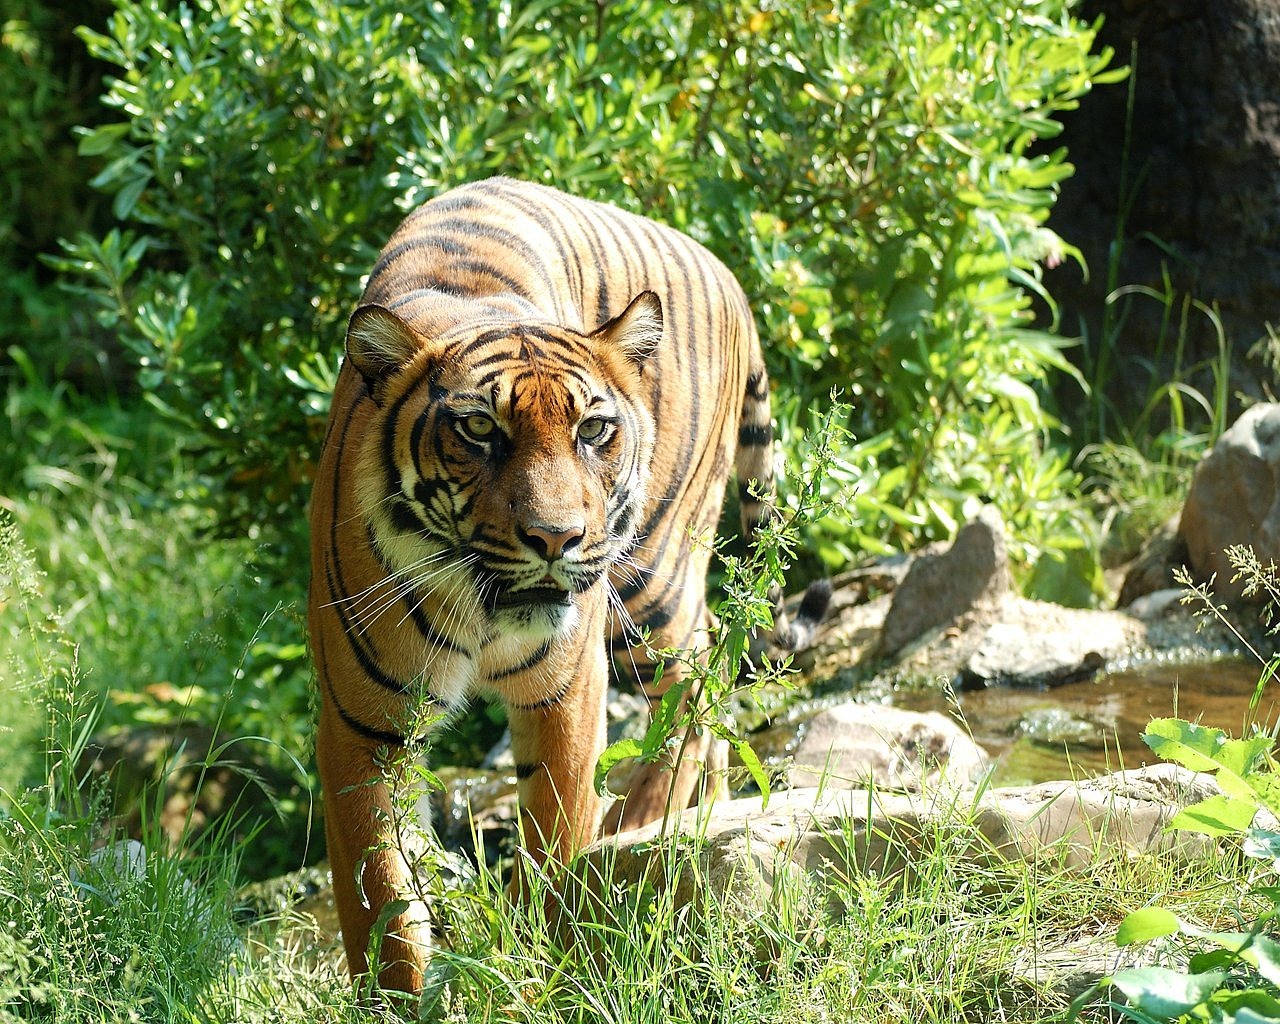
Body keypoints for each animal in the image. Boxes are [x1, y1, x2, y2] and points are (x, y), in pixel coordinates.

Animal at [308, 176, 829, 993]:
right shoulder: (363, 725)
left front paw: (548, 965)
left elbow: (555, 834)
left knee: (695, 674)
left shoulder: (564, 692)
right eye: (480, 431)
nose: (556, 539)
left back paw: (642, 821)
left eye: (592, 430)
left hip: (650, 573)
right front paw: (396, 995)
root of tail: (729, 274)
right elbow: (380, 894)